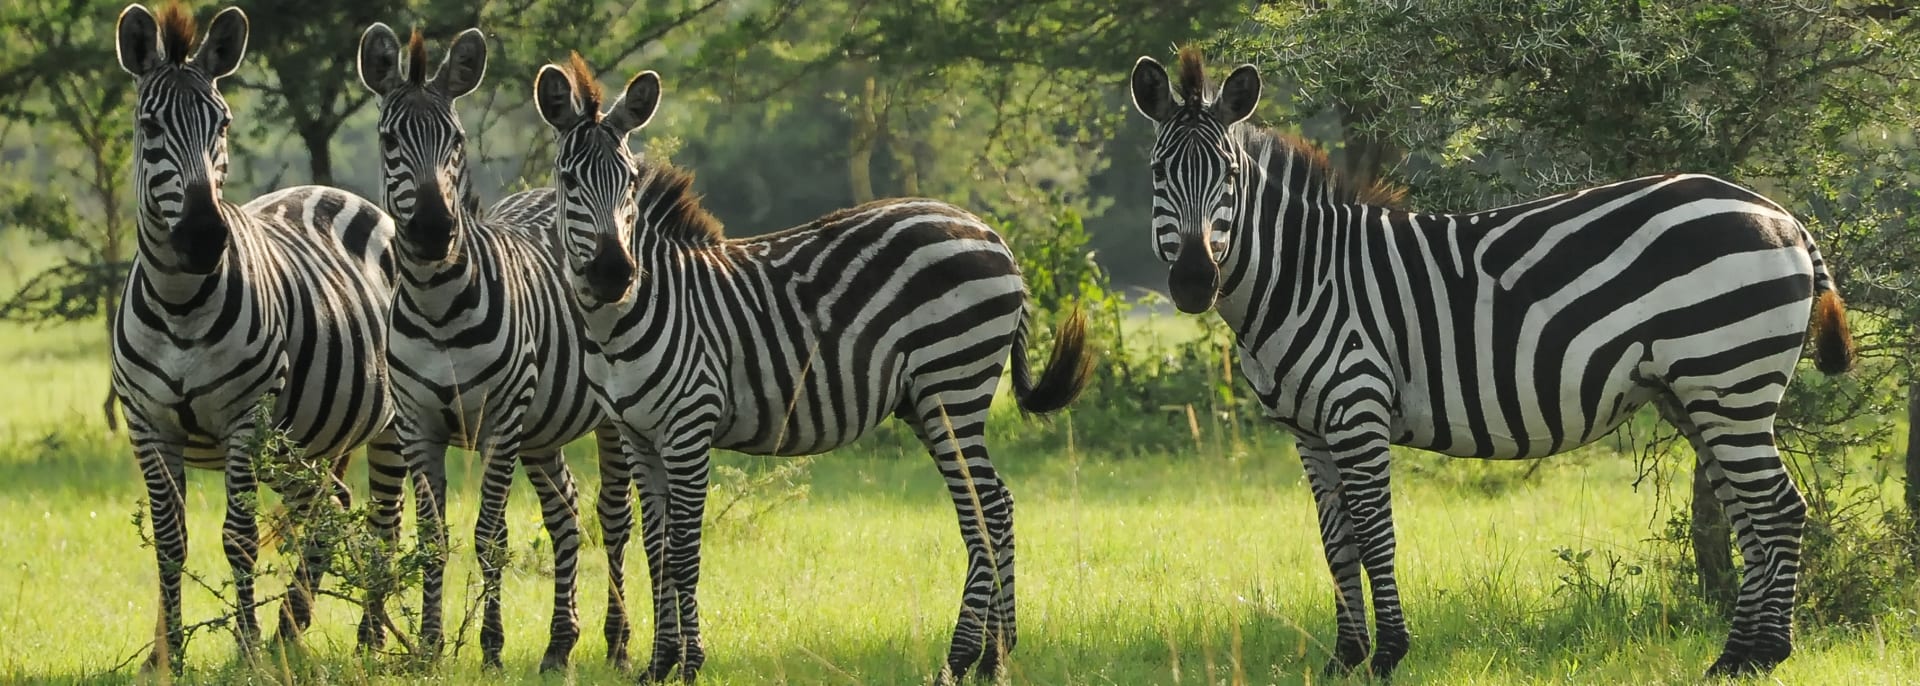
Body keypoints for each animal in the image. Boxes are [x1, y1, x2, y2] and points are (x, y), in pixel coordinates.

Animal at [111, 2, 405, 672]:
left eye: (221, 123)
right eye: (149, 125)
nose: (202, 236)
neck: (179, 303)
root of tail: (337, 191)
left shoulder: (246, 418)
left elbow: (238, 537)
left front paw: (244, 649)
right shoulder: (147, 425)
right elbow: (169, 541)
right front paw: (166, 659)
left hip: (388, 425)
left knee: (384, 519)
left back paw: (368, 639)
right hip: (304, 443)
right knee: (330, 507)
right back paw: (291, 629)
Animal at [353, 25, 629, 668]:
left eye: (454, 140)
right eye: (388, 139)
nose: (434, 231)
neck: (437, 307)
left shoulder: (501, 419)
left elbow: (490, 536)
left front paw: (492, 646)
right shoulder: (417, 424)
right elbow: (432, 537)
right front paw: (430, 646)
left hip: (608, 418)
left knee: (618, 518)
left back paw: (618, 642)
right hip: (544, 427)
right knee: (565, 513)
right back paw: (559, 645)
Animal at [529, 56, 1098, 680]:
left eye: (630, 180)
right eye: (567, 180)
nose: (614, 272)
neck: (623, 321)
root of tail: (990, 231)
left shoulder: (689, 427)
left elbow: (683, 548)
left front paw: (691, 661)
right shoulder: (637, 436)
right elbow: (657, 546)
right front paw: (659, 664)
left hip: (953, 383)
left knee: (986, 510)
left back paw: (963, 658)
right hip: (929, 401)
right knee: (995, 504)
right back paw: (994, 656)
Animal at [1128, 49, 1850, 680]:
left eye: (1229, 176)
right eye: (1159, 174)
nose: (1193, 282)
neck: (1305, 275)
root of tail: (1780, 216)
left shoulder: (1357, 408)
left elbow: (1376, 535)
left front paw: (1387, 656)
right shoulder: (1309, 431)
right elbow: (1337, 546)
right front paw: (1343, 659)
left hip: (1730, 378)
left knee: (1778, 509)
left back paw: (1761, 654)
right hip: (1698, 393)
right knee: (1749, 516)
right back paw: (1739, 656)